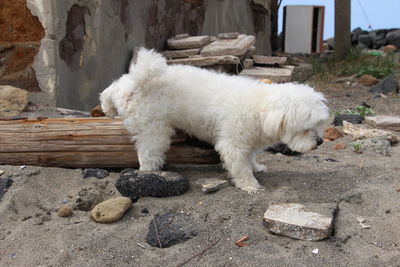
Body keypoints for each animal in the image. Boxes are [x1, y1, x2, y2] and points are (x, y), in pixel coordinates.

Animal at [99, 48, 328, 193]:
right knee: (147, 152)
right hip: (153, 130)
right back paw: (150, 172)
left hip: (128, 91)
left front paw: (256, 167)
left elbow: (250, 157)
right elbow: (240, 166)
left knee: (115, 85)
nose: (319, 142)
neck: (261, 108)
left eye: (319, 125)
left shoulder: (248, 141)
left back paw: (106, 105)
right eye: (306, 128)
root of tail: (140, 81)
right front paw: (250, 184)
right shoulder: (233, 143)